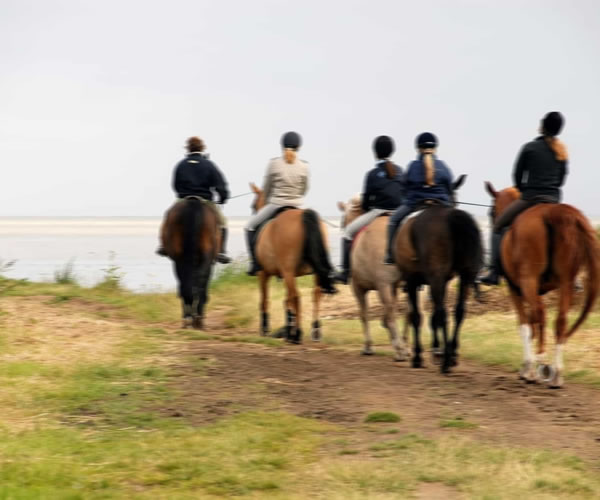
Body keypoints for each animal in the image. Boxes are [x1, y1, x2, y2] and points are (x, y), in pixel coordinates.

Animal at [161, 197, 221, 330]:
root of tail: (193, 203)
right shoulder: (210, 263)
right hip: (199, 258)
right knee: (196, 285)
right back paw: (195, 319)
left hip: (180, 259)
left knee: (186, 286)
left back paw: (189, 317)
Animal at [248, 184, 338, 344]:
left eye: (253, 205)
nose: (254, 211)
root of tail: (303, 214)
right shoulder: (285, 275)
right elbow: (286, 300)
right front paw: (288, 328)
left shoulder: (263, 273)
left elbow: (265, 300)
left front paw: (265, 329)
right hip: (311, 272)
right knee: (315, 294)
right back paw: (315, 330)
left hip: (286, 271)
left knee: (297, 297)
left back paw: (297, 334)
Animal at [338, 197, 412, 362]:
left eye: (343, 220)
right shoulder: (393, 286)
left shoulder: (358, 288)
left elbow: (364, 315)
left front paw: (368, 346)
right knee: (409, 311)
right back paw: (405, 346)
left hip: (383, 285)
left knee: (394, 313)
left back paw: (400, 350)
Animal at [394, 179, 482, 372]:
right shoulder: (442, 281)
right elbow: (433, 315)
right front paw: (436, 350)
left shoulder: (413, 280)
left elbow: (417, 316)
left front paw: (418, 356)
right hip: (464, 276)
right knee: (458, 311)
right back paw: (451, 354)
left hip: (433, 278)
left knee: (442, 313)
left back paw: (446, 361)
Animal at [486, 184, 596, 386]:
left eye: (491, 211)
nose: (494, 218)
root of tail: (552, 213)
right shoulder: (535, 291)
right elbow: (533, 324)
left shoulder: (516, 289)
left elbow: (525, 325)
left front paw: (527, 368)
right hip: (566, 282)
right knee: (560, 320)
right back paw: (556, 373)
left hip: (528, 281)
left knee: (542, 314)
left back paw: (540, 364)